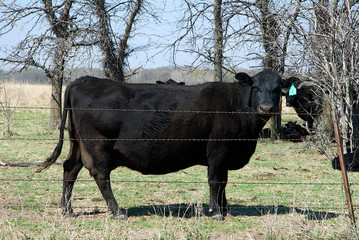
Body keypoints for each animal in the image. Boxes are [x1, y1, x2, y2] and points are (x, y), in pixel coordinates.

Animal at [36, 68, 284, 220]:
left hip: (77, 143)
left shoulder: (226, 154)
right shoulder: (218, 150)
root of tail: (86, 80)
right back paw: (117, 211)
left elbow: (223, 182)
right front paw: (216, 211)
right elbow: (215, 181)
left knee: (70, 168)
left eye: (278, 89)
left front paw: (226, 208)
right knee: (100, 175)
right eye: (256, 87)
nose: (266, 108)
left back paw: (67, 210)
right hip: (98, 146)